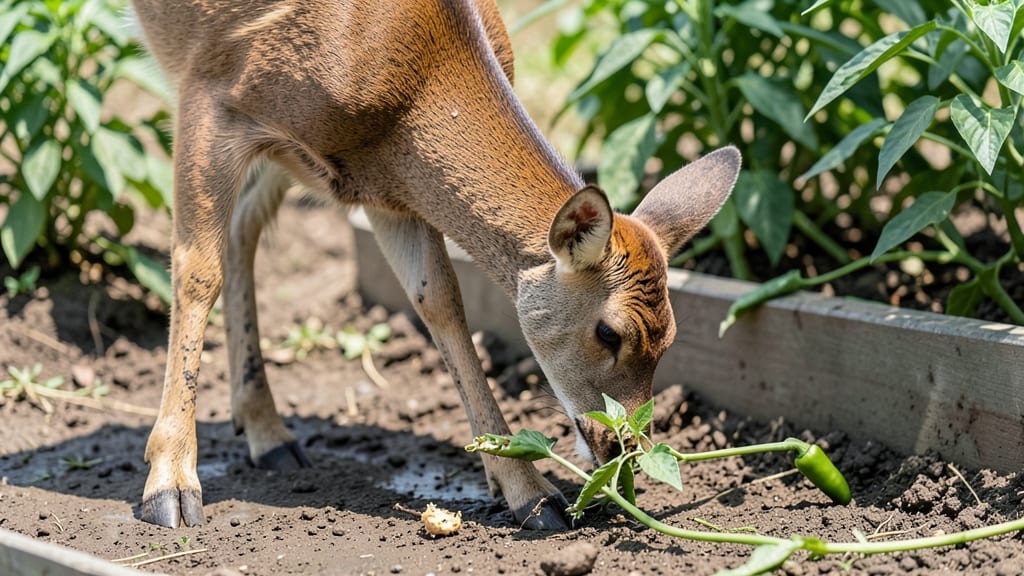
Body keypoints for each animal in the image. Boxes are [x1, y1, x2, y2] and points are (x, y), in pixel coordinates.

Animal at [130, 0, 740, 530]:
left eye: (672, 337)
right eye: (609, 332)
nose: (624, 446)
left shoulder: (388, 192)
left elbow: (440, 300)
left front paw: (530, 494)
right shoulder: (211, 89)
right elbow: (195, 269)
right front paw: (170, 489)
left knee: (244, 230)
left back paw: (268, 434)